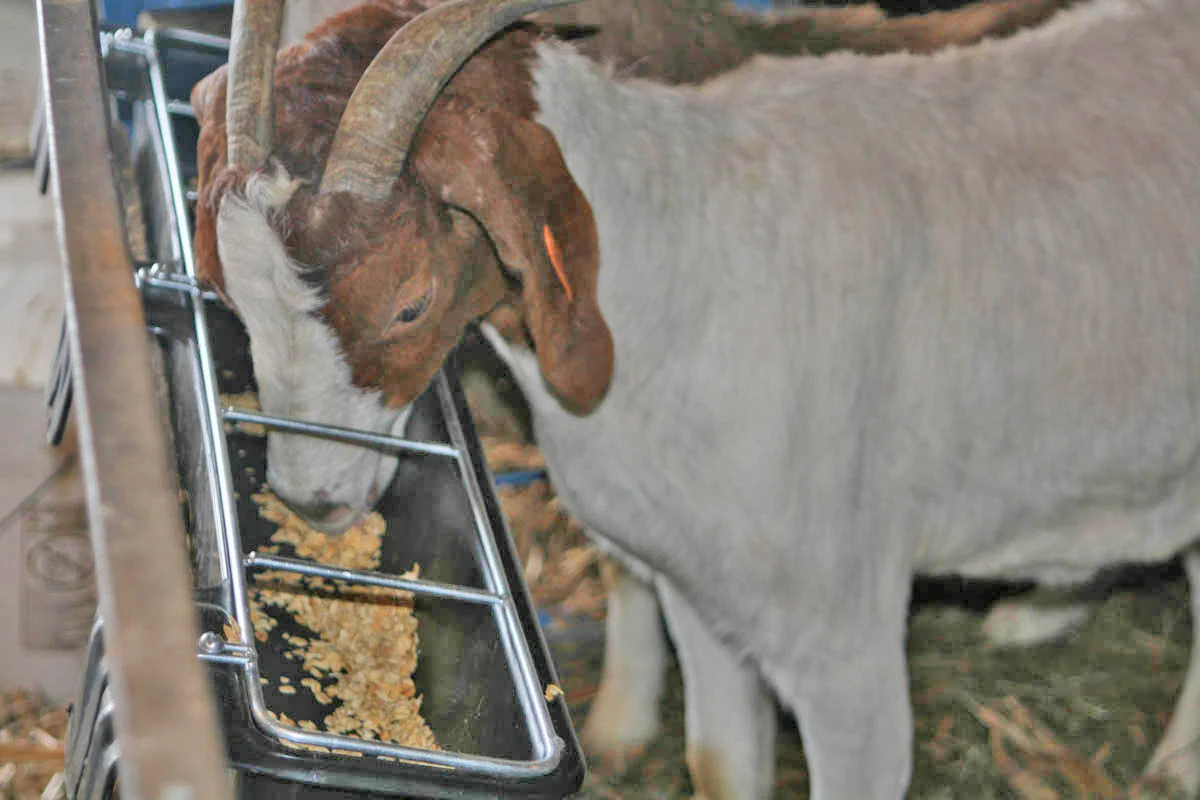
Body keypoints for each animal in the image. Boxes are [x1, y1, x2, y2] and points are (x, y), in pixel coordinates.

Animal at [191, 0, 1200, 796]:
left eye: (410, 300)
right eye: (229, 288)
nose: (312, 499)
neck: (683, 256)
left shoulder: (843, 650)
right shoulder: (698, 592)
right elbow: (717, 764)